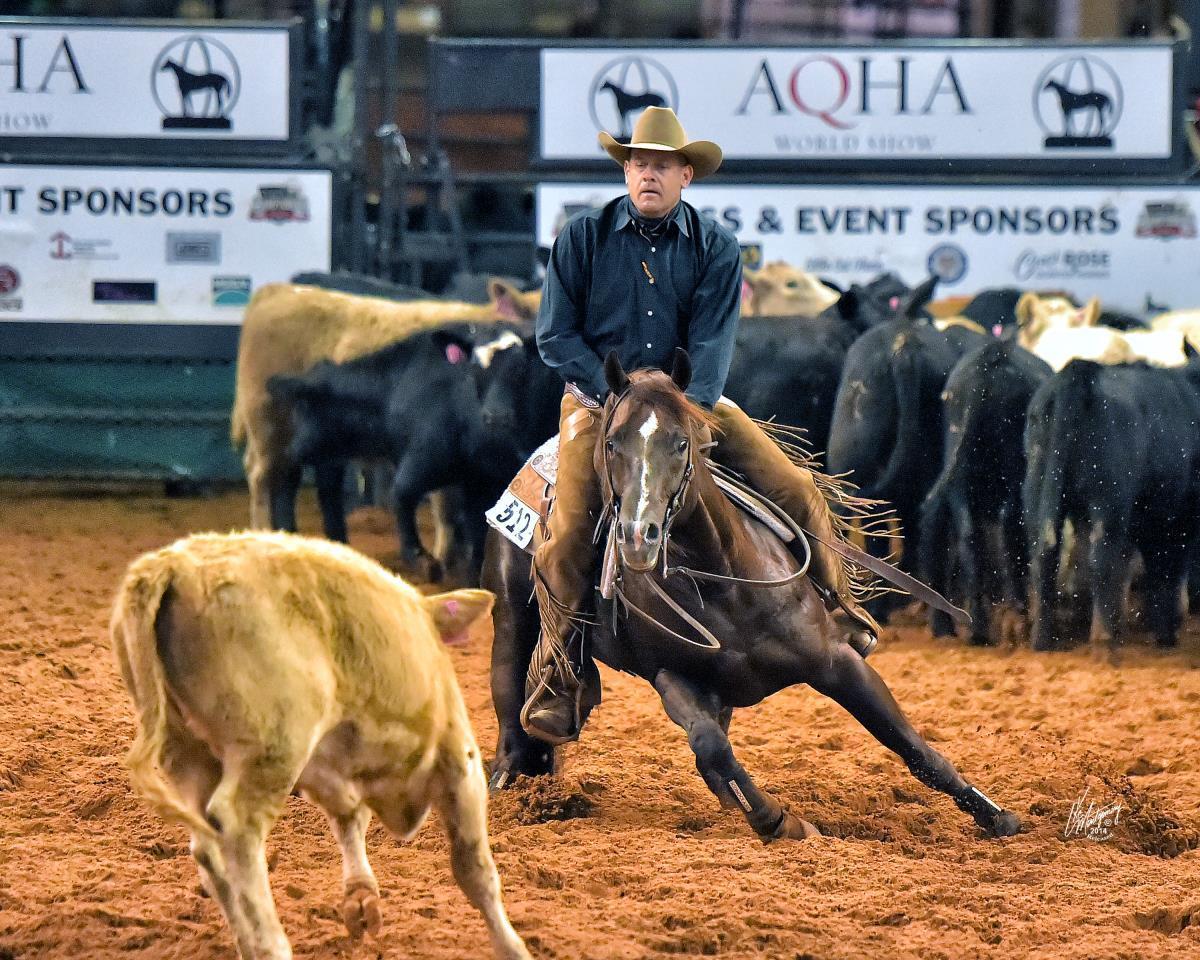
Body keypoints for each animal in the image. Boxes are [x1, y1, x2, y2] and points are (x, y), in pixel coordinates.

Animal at [111, 531, 531, 960]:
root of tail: (171, 566)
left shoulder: (334, 773)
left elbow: (350, 819)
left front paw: (361, 900)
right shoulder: (459, 760)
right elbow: (474, 868)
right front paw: (513, 947)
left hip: (185, 751)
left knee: (207, 848)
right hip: (274, 746)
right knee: (235, 827)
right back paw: (271, 944)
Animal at [485, 350, 1022, 843]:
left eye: (682, 442)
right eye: (612, 443)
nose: (639, 536)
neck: (724, 582)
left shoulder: (836, 661)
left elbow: (913, 746)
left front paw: (996, 816)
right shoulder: (670, 675)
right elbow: (711, 746)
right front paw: (779, 821)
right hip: (513, 610)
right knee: (511, 694)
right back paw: (509, 780)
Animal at [920, 339, 1052, 646]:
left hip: (957, 478)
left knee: (960, 531)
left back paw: (968, 627)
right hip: (1011, 476)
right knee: (1008, 526)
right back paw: (1017, 621)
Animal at [1023, 359, 1200, 653]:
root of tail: (1078, 374)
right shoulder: (1176, 519)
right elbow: (1166, 570)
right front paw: (1166, 632)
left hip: (1037, 491)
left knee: (1045, 556)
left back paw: (1043, 640)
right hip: (1108, 501)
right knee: (1101, 559)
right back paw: (1105, 640)